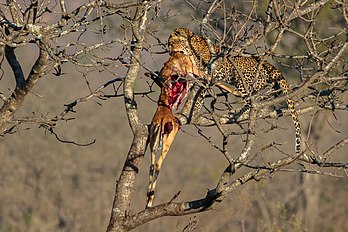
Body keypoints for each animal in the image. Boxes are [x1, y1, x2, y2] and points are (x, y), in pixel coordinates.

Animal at [169, 28, 302, 156]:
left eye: (172, 43)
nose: (170, 51)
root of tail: (270, 65)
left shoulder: (205, 76)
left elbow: (199, 95)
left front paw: (195, 108)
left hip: (243, 82)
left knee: (250, 102)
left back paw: (237, 111)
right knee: (268, 94)